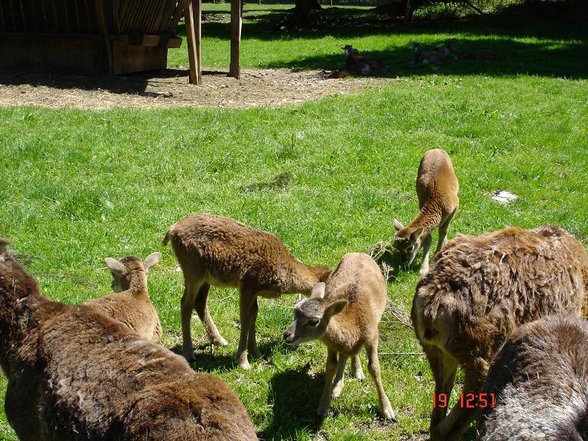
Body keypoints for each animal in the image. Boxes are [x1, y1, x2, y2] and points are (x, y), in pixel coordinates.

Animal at [163, 211, 330, 370]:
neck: (283, 269)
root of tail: (172, 229)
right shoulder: (246, 285)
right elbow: (245, 319)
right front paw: (243, 362)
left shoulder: (254, 290)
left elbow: (253, 315)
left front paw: (256, 353)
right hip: (193, 271)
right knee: (186, 303)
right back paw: (188, 352)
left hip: (206, 278)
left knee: (200, 302)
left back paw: (219, 340)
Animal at [284, 253, 396, 422]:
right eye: (295, 311)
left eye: (313, 321)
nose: (287, 335)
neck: (353, 321)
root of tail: (358, 253)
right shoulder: (331, 345)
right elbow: (331, 366)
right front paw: (323, 406)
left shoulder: (372, 336)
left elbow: (374, 368)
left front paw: (388, 410)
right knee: (346, 355)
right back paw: (339, 385)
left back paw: (355, 374)